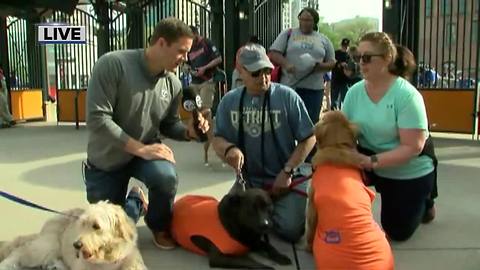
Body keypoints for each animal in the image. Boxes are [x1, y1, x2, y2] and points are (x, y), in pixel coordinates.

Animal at [0, 201, 145, 268]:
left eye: (96, 226)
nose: (76, 245)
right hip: (47, 247)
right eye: (82, 224)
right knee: (21, 250)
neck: (106, 261)